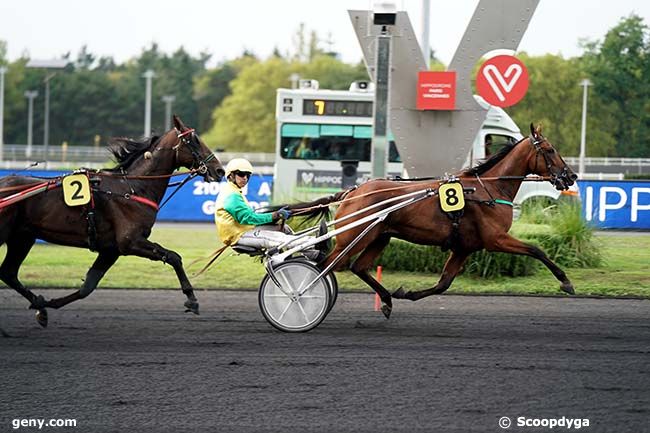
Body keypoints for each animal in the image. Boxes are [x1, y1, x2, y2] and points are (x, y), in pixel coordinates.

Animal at [0, 116, 223, 326]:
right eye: (194, 140)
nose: (219, 170)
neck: (131, 188)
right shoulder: (130, 242)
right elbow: (174, 257)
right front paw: (191, 298)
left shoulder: (111, 249)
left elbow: (87, 287)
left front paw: (45, 305)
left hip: (23, 238)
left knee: (8, 273)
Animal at [316, 125, 576, 318]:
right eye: (550, 150)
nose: (571, 176)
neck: (489, 189)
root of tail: (353, 191)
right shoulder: (496, 239)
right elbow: (536, 249)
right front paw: (565, 282)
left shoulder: (464, 248)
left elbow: (444, 283)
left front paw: (406, 293)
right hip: (352, 238)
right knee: (323, 266)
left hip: (379, 236)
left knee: (357, 267)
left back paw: (387, 300)